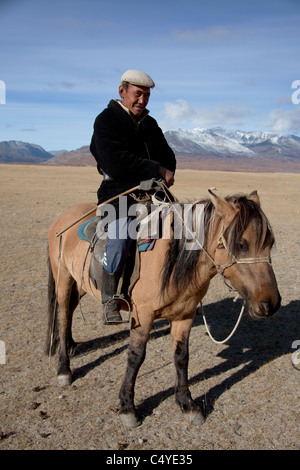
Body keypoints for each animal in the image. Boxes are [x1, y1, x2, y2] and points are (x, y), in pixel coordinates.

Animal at [46, 189, 282, 428]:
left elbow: (181, 356)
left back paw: (71, 345)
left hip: (81, 283)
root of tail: (62, 217)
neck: (173, 260)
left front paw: (187, 403)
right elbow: (136, 356)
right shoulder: (143, 315)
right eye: (242, 244)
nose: (270, 304)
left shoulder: (185, 315)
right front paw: (127, 407)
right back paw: (64, 369)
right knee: (63, 316)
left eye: (270, 242)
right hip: (63, 279)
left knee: (70, 312)